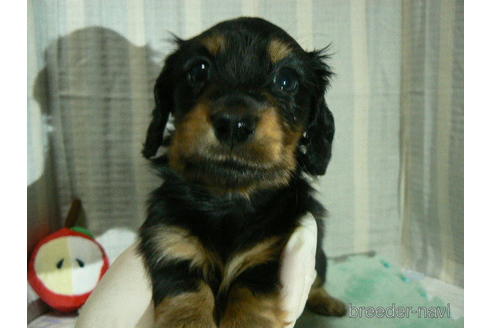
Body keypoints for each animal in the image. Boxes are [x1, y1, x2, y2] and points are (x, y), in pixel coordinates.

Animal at [138, 18, 346, 328]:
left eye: (287, 80)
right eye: (198, 69)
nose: (234, 124)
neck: (227, 199)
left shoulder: (268, 254)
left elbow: (248, 294)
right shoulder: (171, 243)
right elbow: (186, 292)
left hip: (318, 257)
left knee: (317, 280)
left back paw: (327, 302)